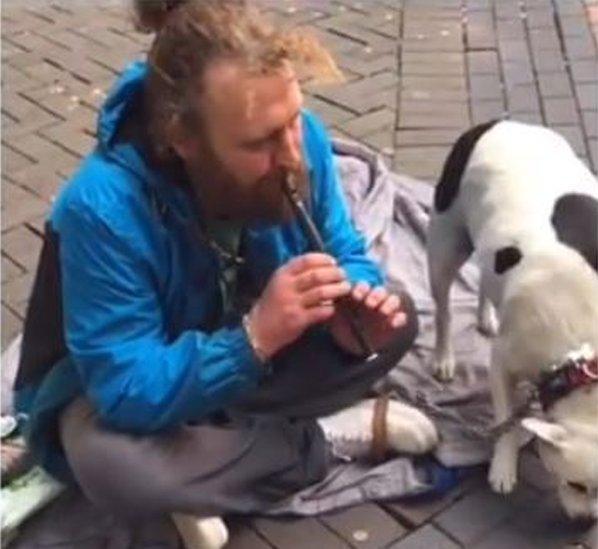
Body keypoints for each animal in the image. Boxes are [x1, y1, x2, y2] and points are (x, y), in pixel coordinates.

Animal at [428, 120, 598, 520]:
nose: (588, 521)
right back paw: (444, 357)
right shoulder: (503, 362)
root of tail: (498, 123)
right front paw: (502, 467)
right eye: (576, 485)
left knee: (486, 280)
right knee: (443, 309)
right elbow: (505, 420)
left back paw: (487, 316)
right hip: (444, 245)